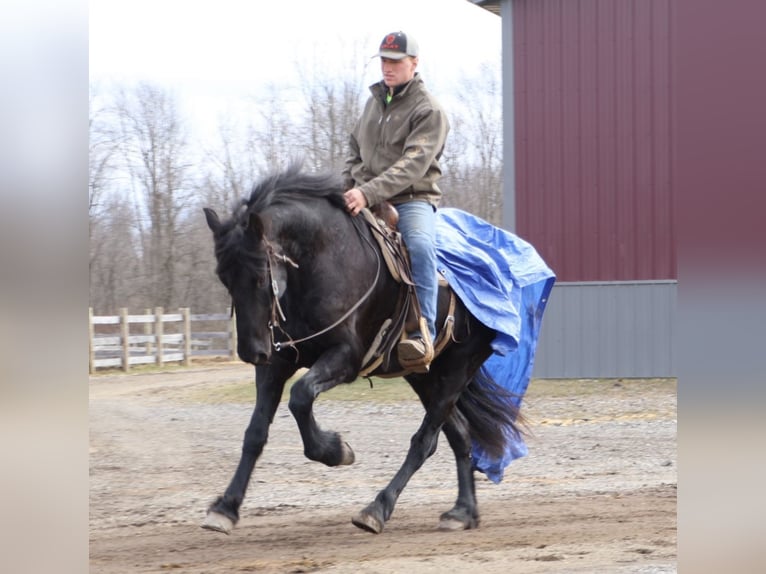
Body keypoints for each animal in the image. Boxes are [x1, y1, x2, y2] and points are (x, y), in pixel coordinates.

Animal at [201, 162, 523, 535]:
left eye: (258, 276)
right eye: (225, 278)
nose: (251, 352)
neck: (322, 258)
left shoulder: (345, 357)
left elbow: (300, 396)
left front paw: (336, 450)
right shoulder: (277, 364)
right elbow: (255, 432)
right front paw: (225, 507)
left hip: (458, 369)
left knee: (425, 441)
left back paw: (377, 509)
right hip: (426, 377)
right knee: (460, 435)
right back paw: (463, 511)